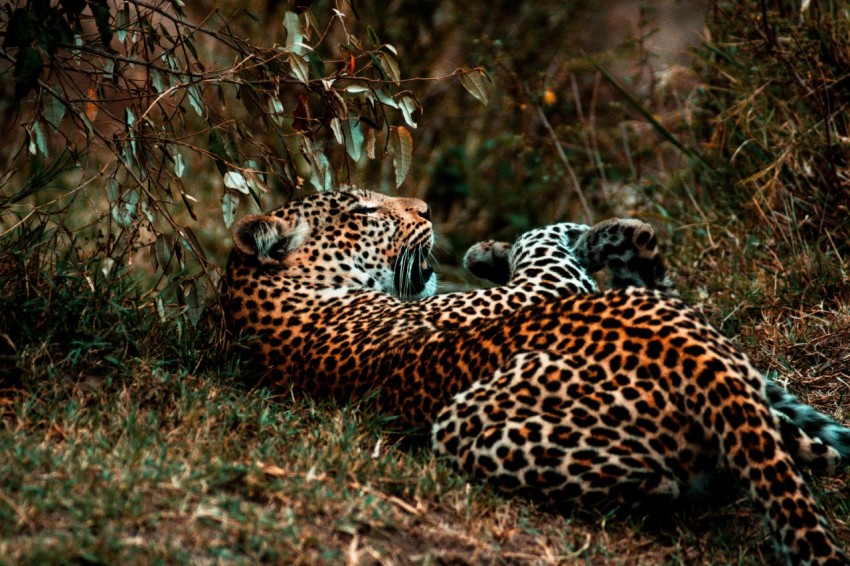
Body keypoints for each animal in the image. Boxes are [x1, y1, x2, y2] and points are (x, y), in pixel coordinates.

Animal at [222, 189, 844, 564]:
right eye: (364, 213)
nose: (426, 209)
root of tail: (698, 362)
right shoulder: (535, 290)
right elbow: (543, 242)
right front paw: (519, 243)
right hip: (469, 422)